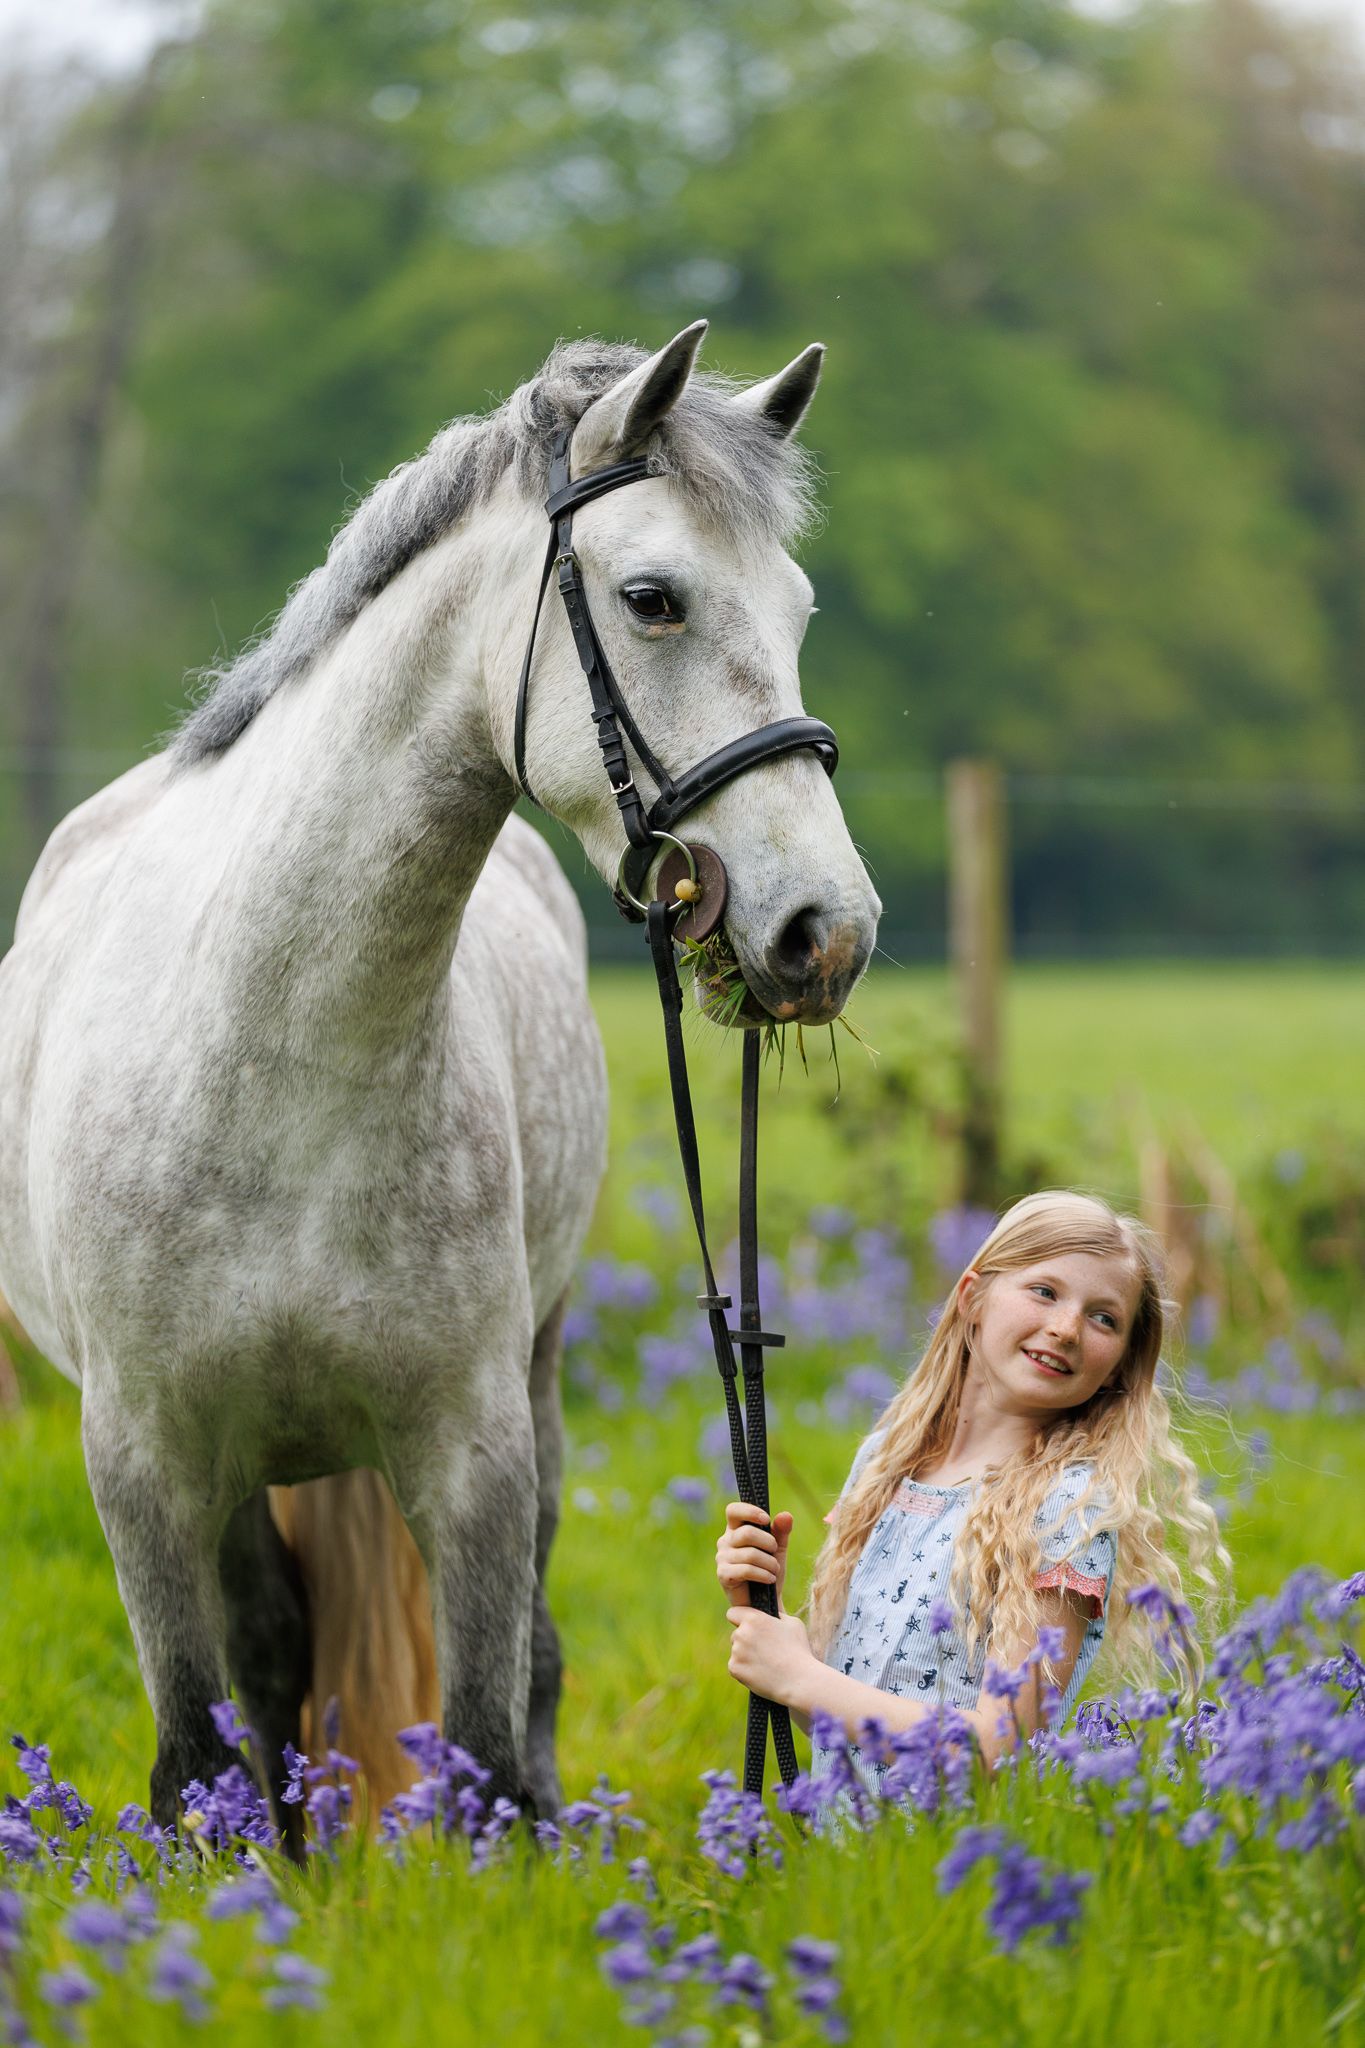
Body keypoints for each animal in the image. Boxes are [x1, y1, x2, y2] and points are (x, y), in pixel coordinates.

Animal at [0, 320, 881, 1843]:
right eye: (652, 598)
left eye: (799, 606)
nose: (827, 932)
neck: (279, 1061)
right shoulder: (146, 1469)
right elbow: (198, 1765)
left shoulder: (473, 1459)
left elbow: (483, 1755)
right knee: (273, 1663)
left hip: (529, 1390)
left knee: (524, 1666)